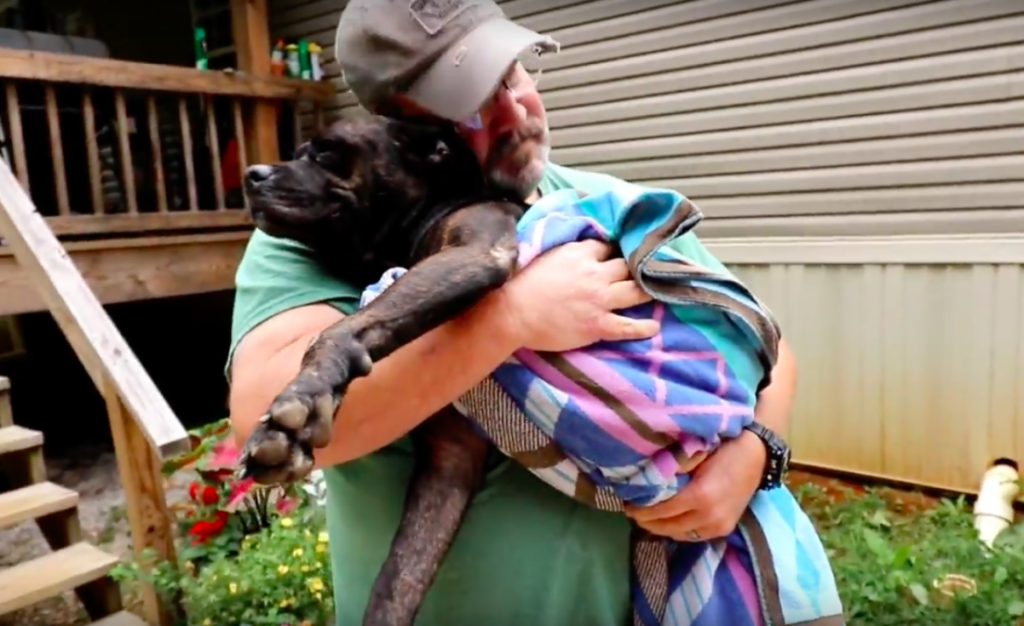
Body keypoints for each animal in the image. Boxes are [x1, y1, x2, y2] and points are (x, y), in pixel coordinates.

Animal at [238, 116, 528, 626]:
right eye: (297, 151)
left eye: (326, 152)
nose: (251, 174)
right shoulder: (450, 463)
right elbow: (396, 583)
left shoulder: (478, 253)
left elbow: (339, 331)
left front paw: (302, 399)